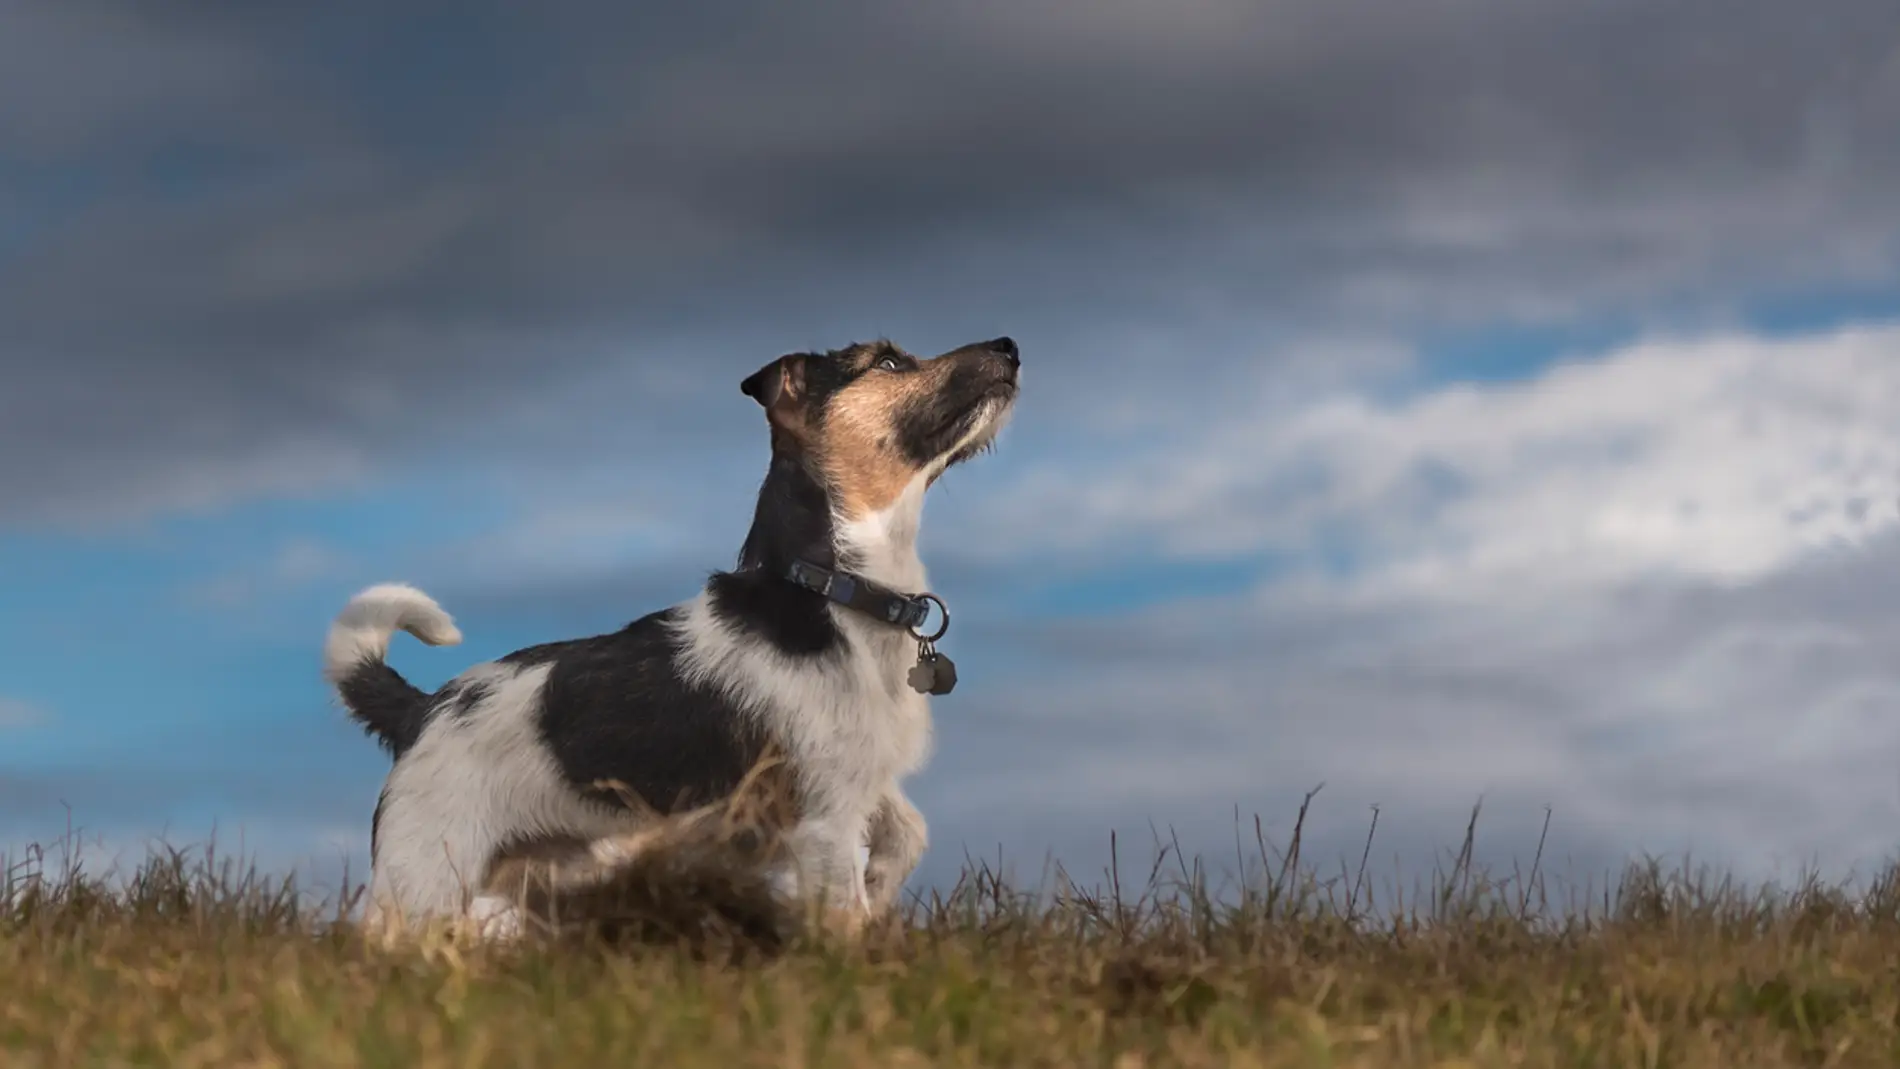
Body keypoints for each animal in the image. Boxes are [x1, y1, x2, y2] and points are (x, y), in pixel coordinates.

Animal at [323, 337, 1026, 941]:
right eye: (886, 362)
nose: (1010, 346)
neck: (831, 590)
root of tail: (421, 710)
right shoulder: (821, 817)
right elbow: (842, 916)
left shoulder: (861, 777)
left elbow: (910, 832)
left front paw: (882, 885)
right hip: (424, 878)